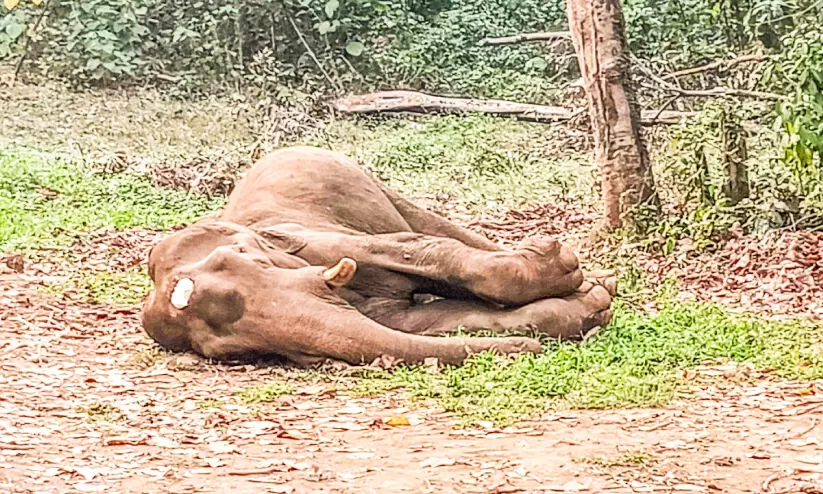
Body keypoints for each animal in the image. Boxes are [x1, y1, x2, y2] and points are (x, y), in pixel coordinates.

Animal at [141, 146, 615, 366]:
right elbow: (424, 321)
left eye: (246, 261)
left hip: (372, 182)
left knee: (435, 225)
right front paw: (589, 306)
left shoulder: (321, 240)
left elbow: (415, 248)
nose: (526, 351)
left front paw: (585, 284)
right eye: (234, 353)